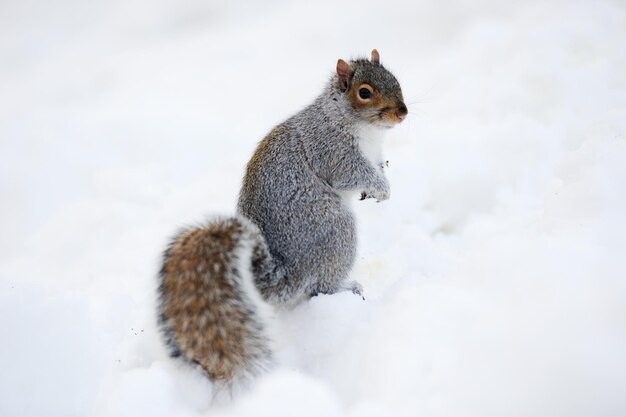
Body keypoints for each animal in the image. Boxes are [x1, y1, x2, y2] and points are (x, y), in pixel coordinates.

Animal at [157, 48, 404, 394]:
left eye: (396, 78)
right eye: (364, 92)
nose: (402, 113)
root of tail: (287, 273)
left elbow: (378, 166)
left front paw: (379, 187)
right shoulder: (331, 150)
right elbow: (352, 173)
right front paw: (382, 188)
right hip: (335, 231)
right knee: (320, 287)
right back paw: (346, 287)